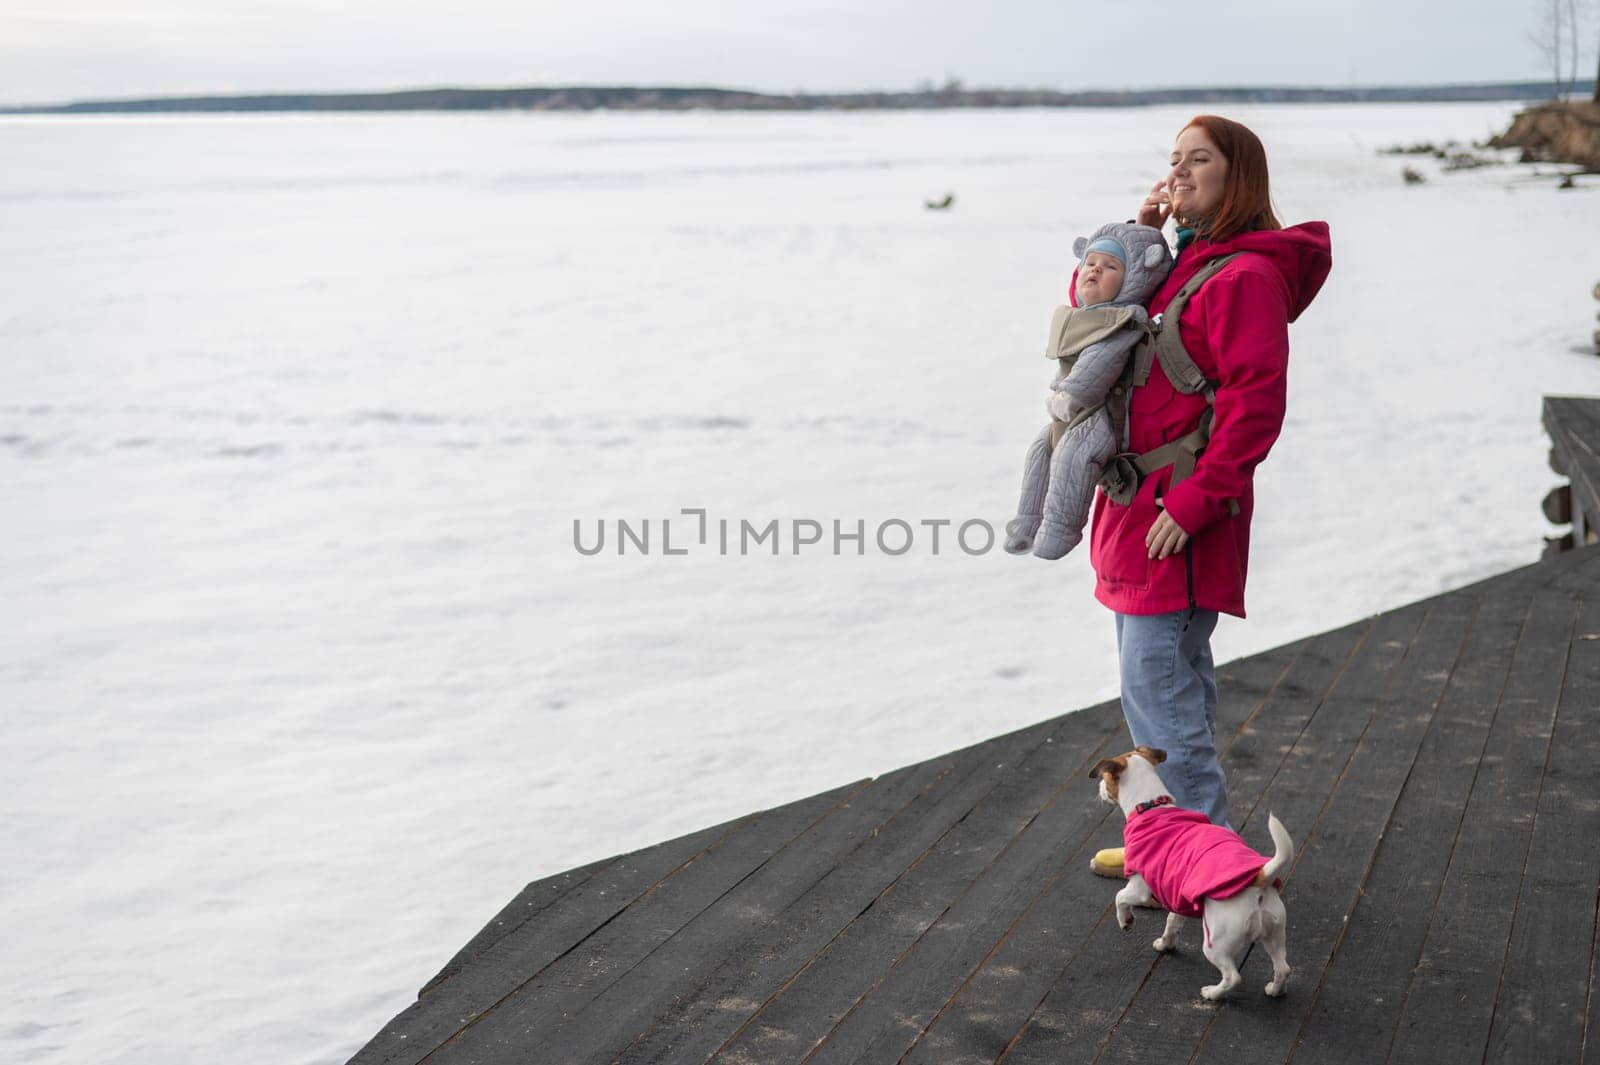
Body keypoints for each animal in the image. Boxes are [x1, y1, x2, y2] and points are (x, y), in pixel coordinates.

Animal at [1088, 745, 1299, 997]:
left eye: (1105, 777)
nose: (1099, 788)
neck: (1151, 805)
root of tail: (1258, 879)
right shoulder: (1177, 894)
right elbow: (1172, 922)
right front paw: (1165, 944)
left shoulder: (1139, 888)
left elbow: (1119, 897)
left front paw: (1126, 921)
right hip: (1274, 932)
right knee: (1283, 967)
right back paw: (1275, 990)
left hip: (1216, 943)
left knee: (1233, 977)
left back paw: (1212, 993)